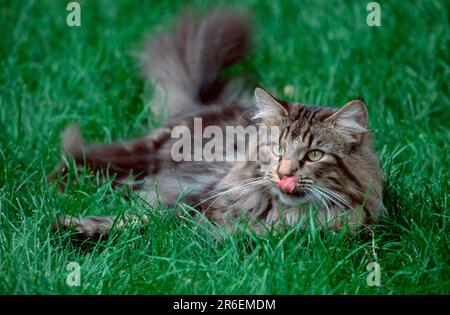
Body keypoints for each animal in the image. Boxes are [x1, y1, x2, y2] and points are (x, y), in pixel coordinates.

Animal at [51, 10, 384, 242]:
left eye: (314, 155)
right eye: (277, 149)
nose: (284, 174)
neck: (284, 216)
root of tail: (204, 105)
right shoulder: (192, 203)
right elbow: (142, 221)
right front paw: (72, 227)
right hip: (139, 156)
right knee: (78, 155)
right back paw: (54, 187)